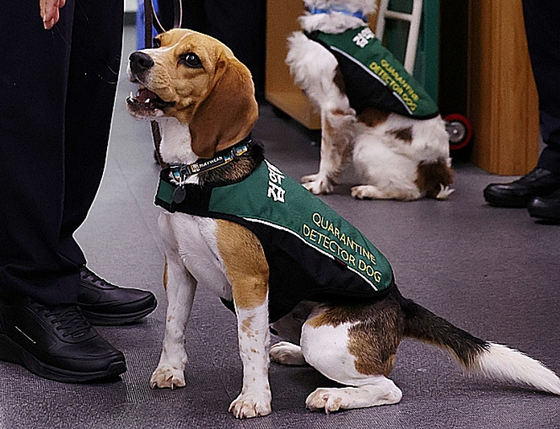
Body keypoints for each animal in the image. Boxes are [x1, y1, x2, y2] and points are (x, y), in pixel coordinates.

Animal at [126, 28, 560, 416]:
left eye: (191, 59)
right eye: (159, 42)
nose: (137, 58)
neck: (196, 173)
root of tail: (400, 304)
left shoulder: (249, 281)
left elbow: (247, 347)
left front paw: (255, 400)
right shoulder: (178, 268)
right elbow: (173, 327)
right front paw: (170, 372)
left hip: (321, 334)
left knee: (386, 387)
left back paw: (332, 396)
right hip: (291, 318)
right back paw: (291, 354)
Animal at [286, 0, 452, 201]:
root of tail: (438, 170)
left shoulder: (334, 108)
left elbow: (327, 151)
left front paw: (319, 185)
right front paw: (321, 179)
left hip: (365, 146)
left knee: (409, 191)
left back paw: (367, 190)